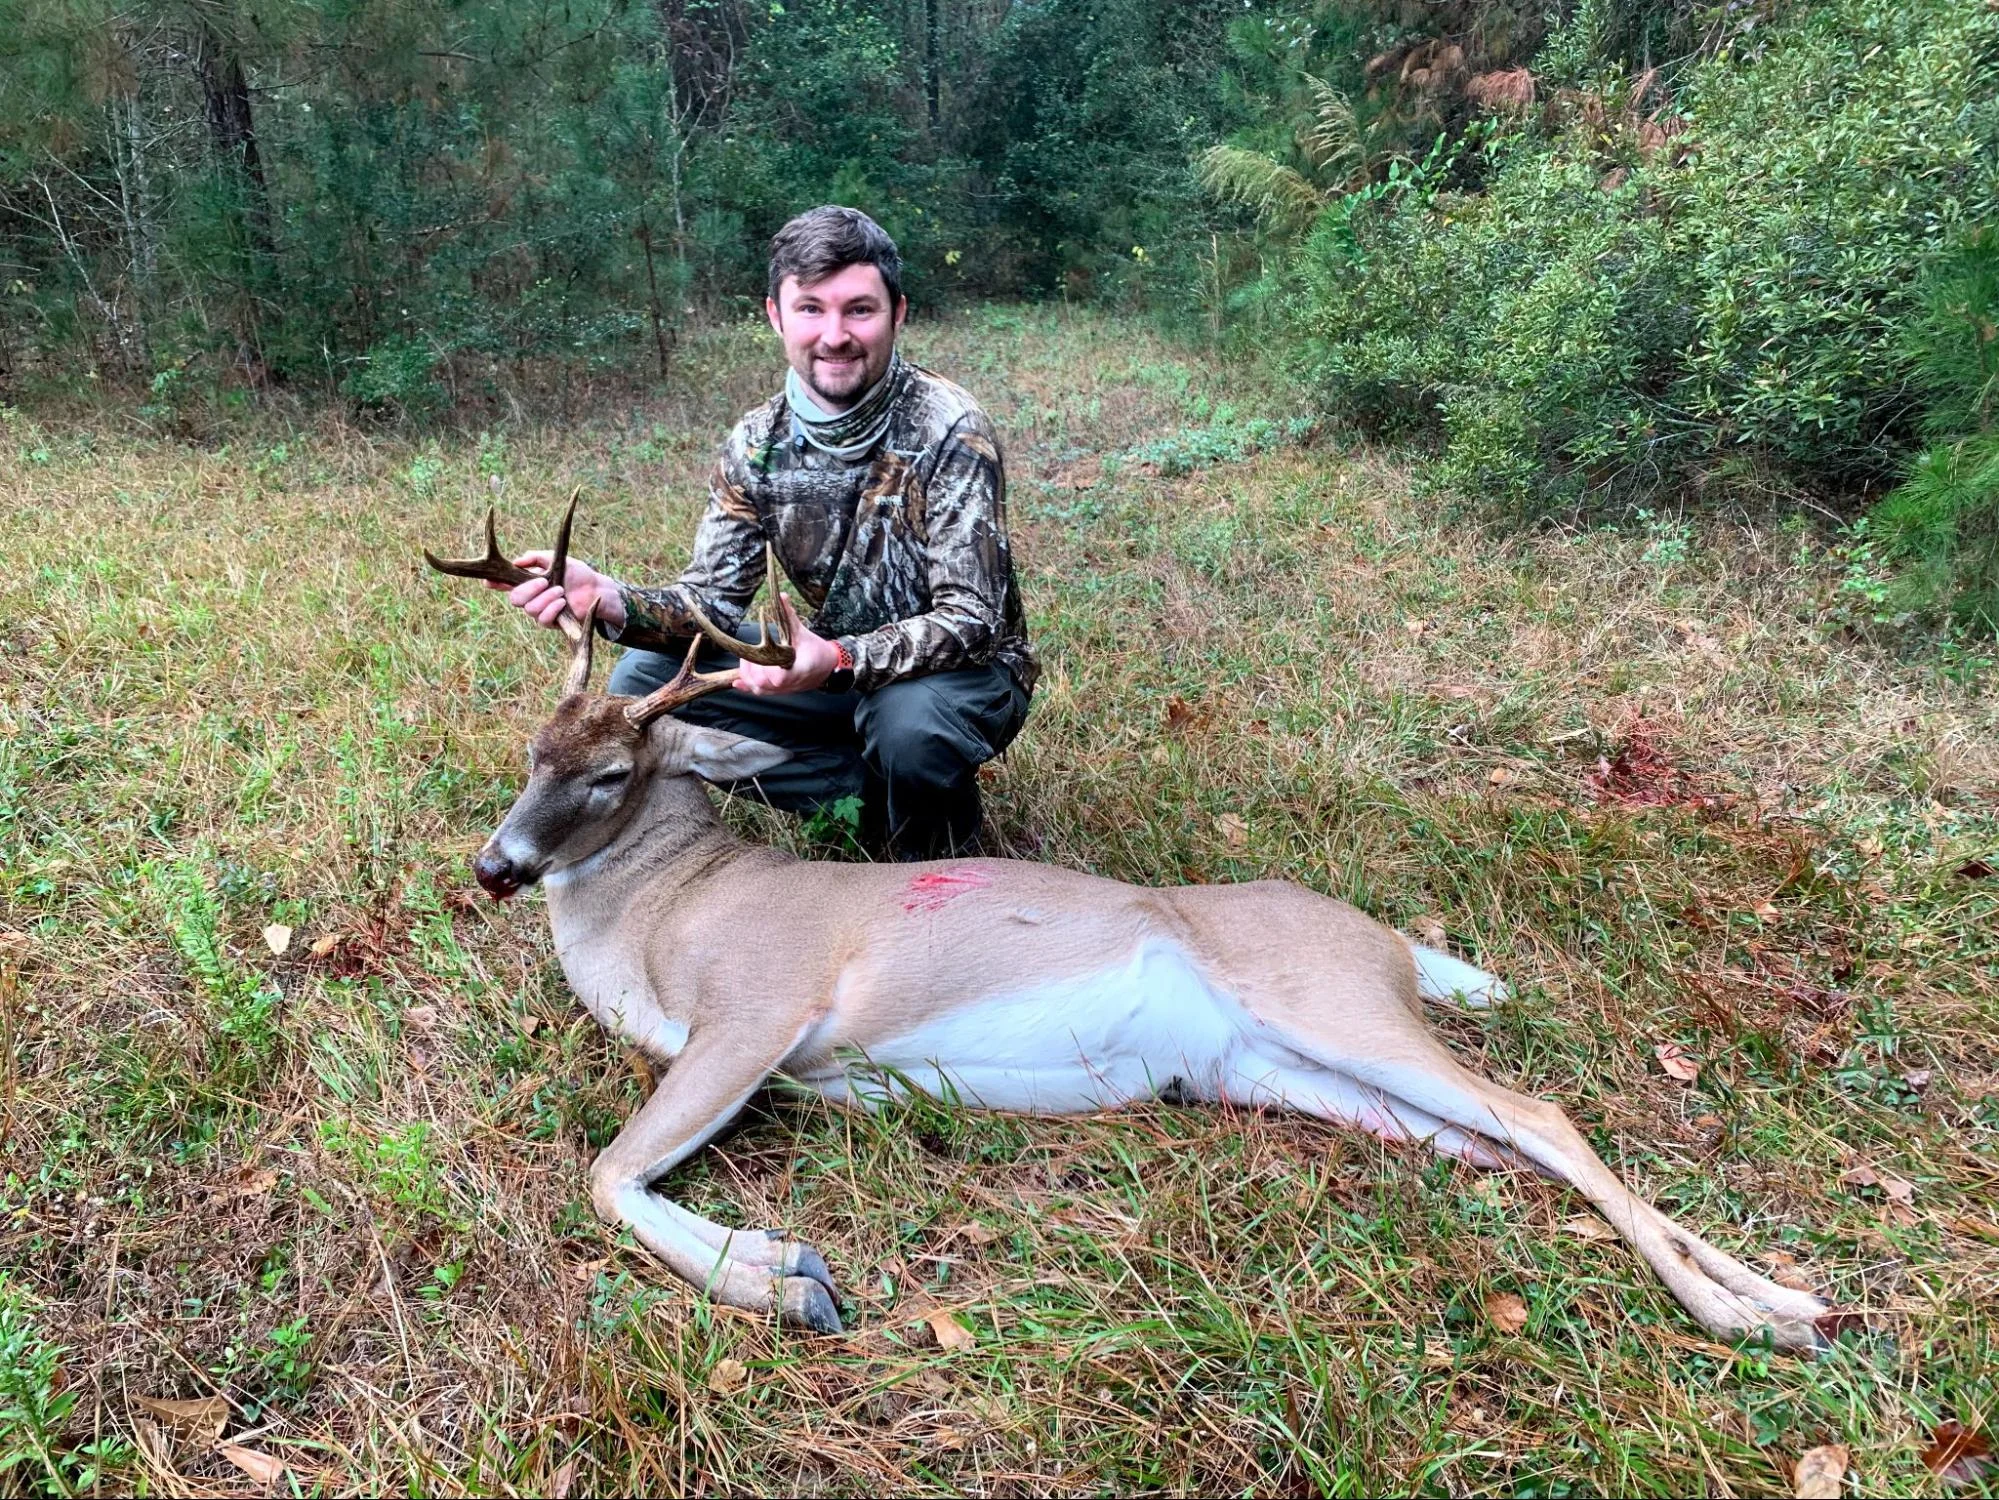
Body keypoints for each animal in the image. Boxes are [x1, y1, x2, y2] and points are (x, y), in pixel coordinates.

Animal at [425, 502, 1831, 1351]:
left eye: (609, 776)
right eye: (530, 750)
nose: (496, 866)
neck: (669, 910)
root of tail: (1392, 944)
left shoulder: (758, 1009)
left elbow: (607, 1172)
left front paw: (790, 1278)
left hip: (1324, 1002)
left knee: (1542, 1113)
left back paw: (1750, 1318)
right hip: (1285, 1073)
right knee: (1511, 1147)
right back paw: (1787, 1300)